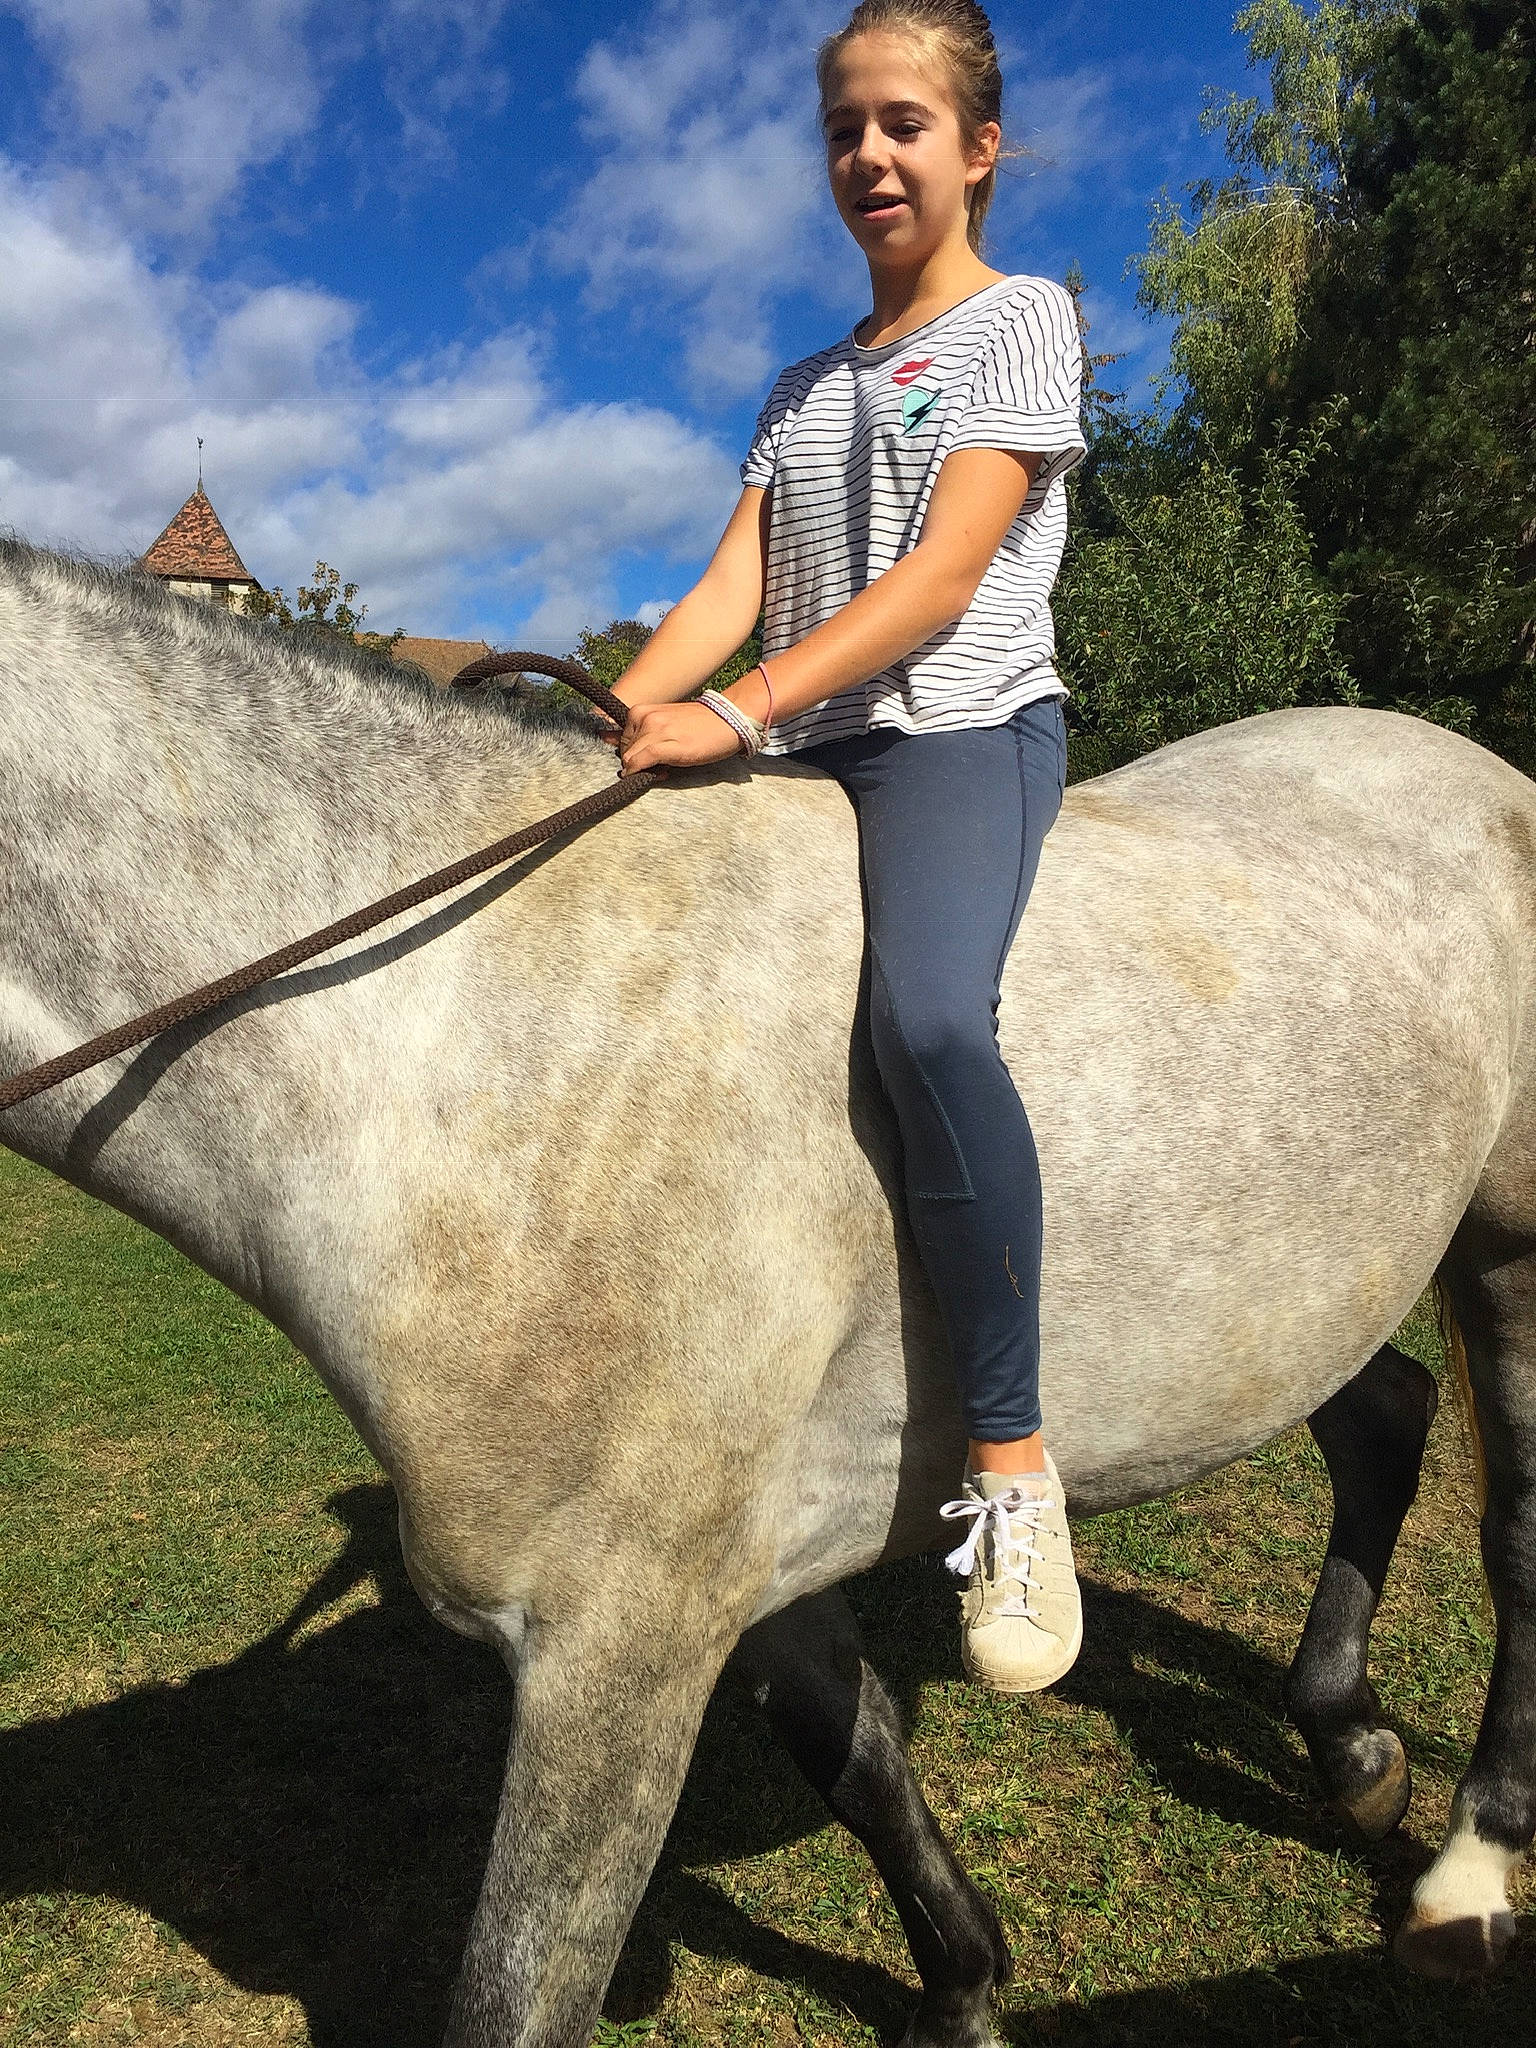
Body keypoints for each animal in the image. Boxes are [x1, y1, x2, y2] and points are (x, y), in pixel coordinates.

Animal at [1, 535, 1532, 2048]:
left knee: (1510, 1531)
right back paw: (1349, 1741)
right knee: (1386, 1413)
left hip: (1505, 1248)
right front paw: (963, 1983)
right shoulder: (736, 1557)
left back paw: (1469, 1866)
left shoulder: (610, 1646)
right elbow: (852, 1753)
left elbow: (523, 1984)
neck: (470, 1048)